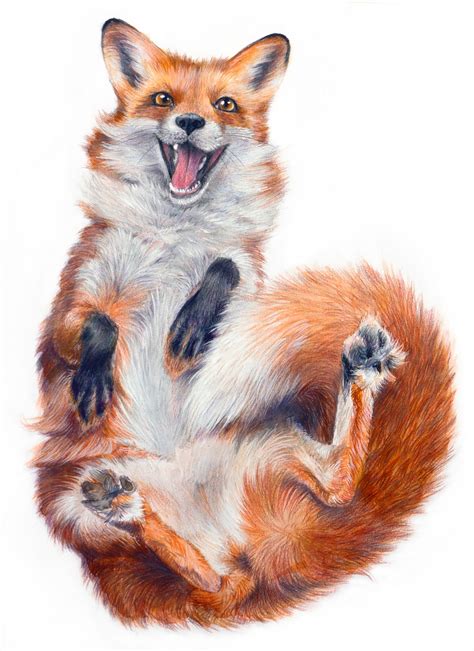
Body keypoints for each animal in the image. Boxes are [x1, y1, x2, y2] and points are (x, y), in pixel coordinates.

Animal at [32, 18, 454, 628]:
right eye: (163, 100)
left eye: (224, 105)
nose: (191, 123)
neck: (176, 235)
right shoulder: (71, 303)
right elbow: (98, 328)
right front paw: (92, 380)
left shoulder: (253, 292)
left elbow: (227, 265)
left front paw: (191, 321)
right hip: (70, 501)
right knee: (220, 581)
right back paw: (127, 506)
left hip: (270, 440)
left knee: (325, 495)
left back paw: (360, 369)